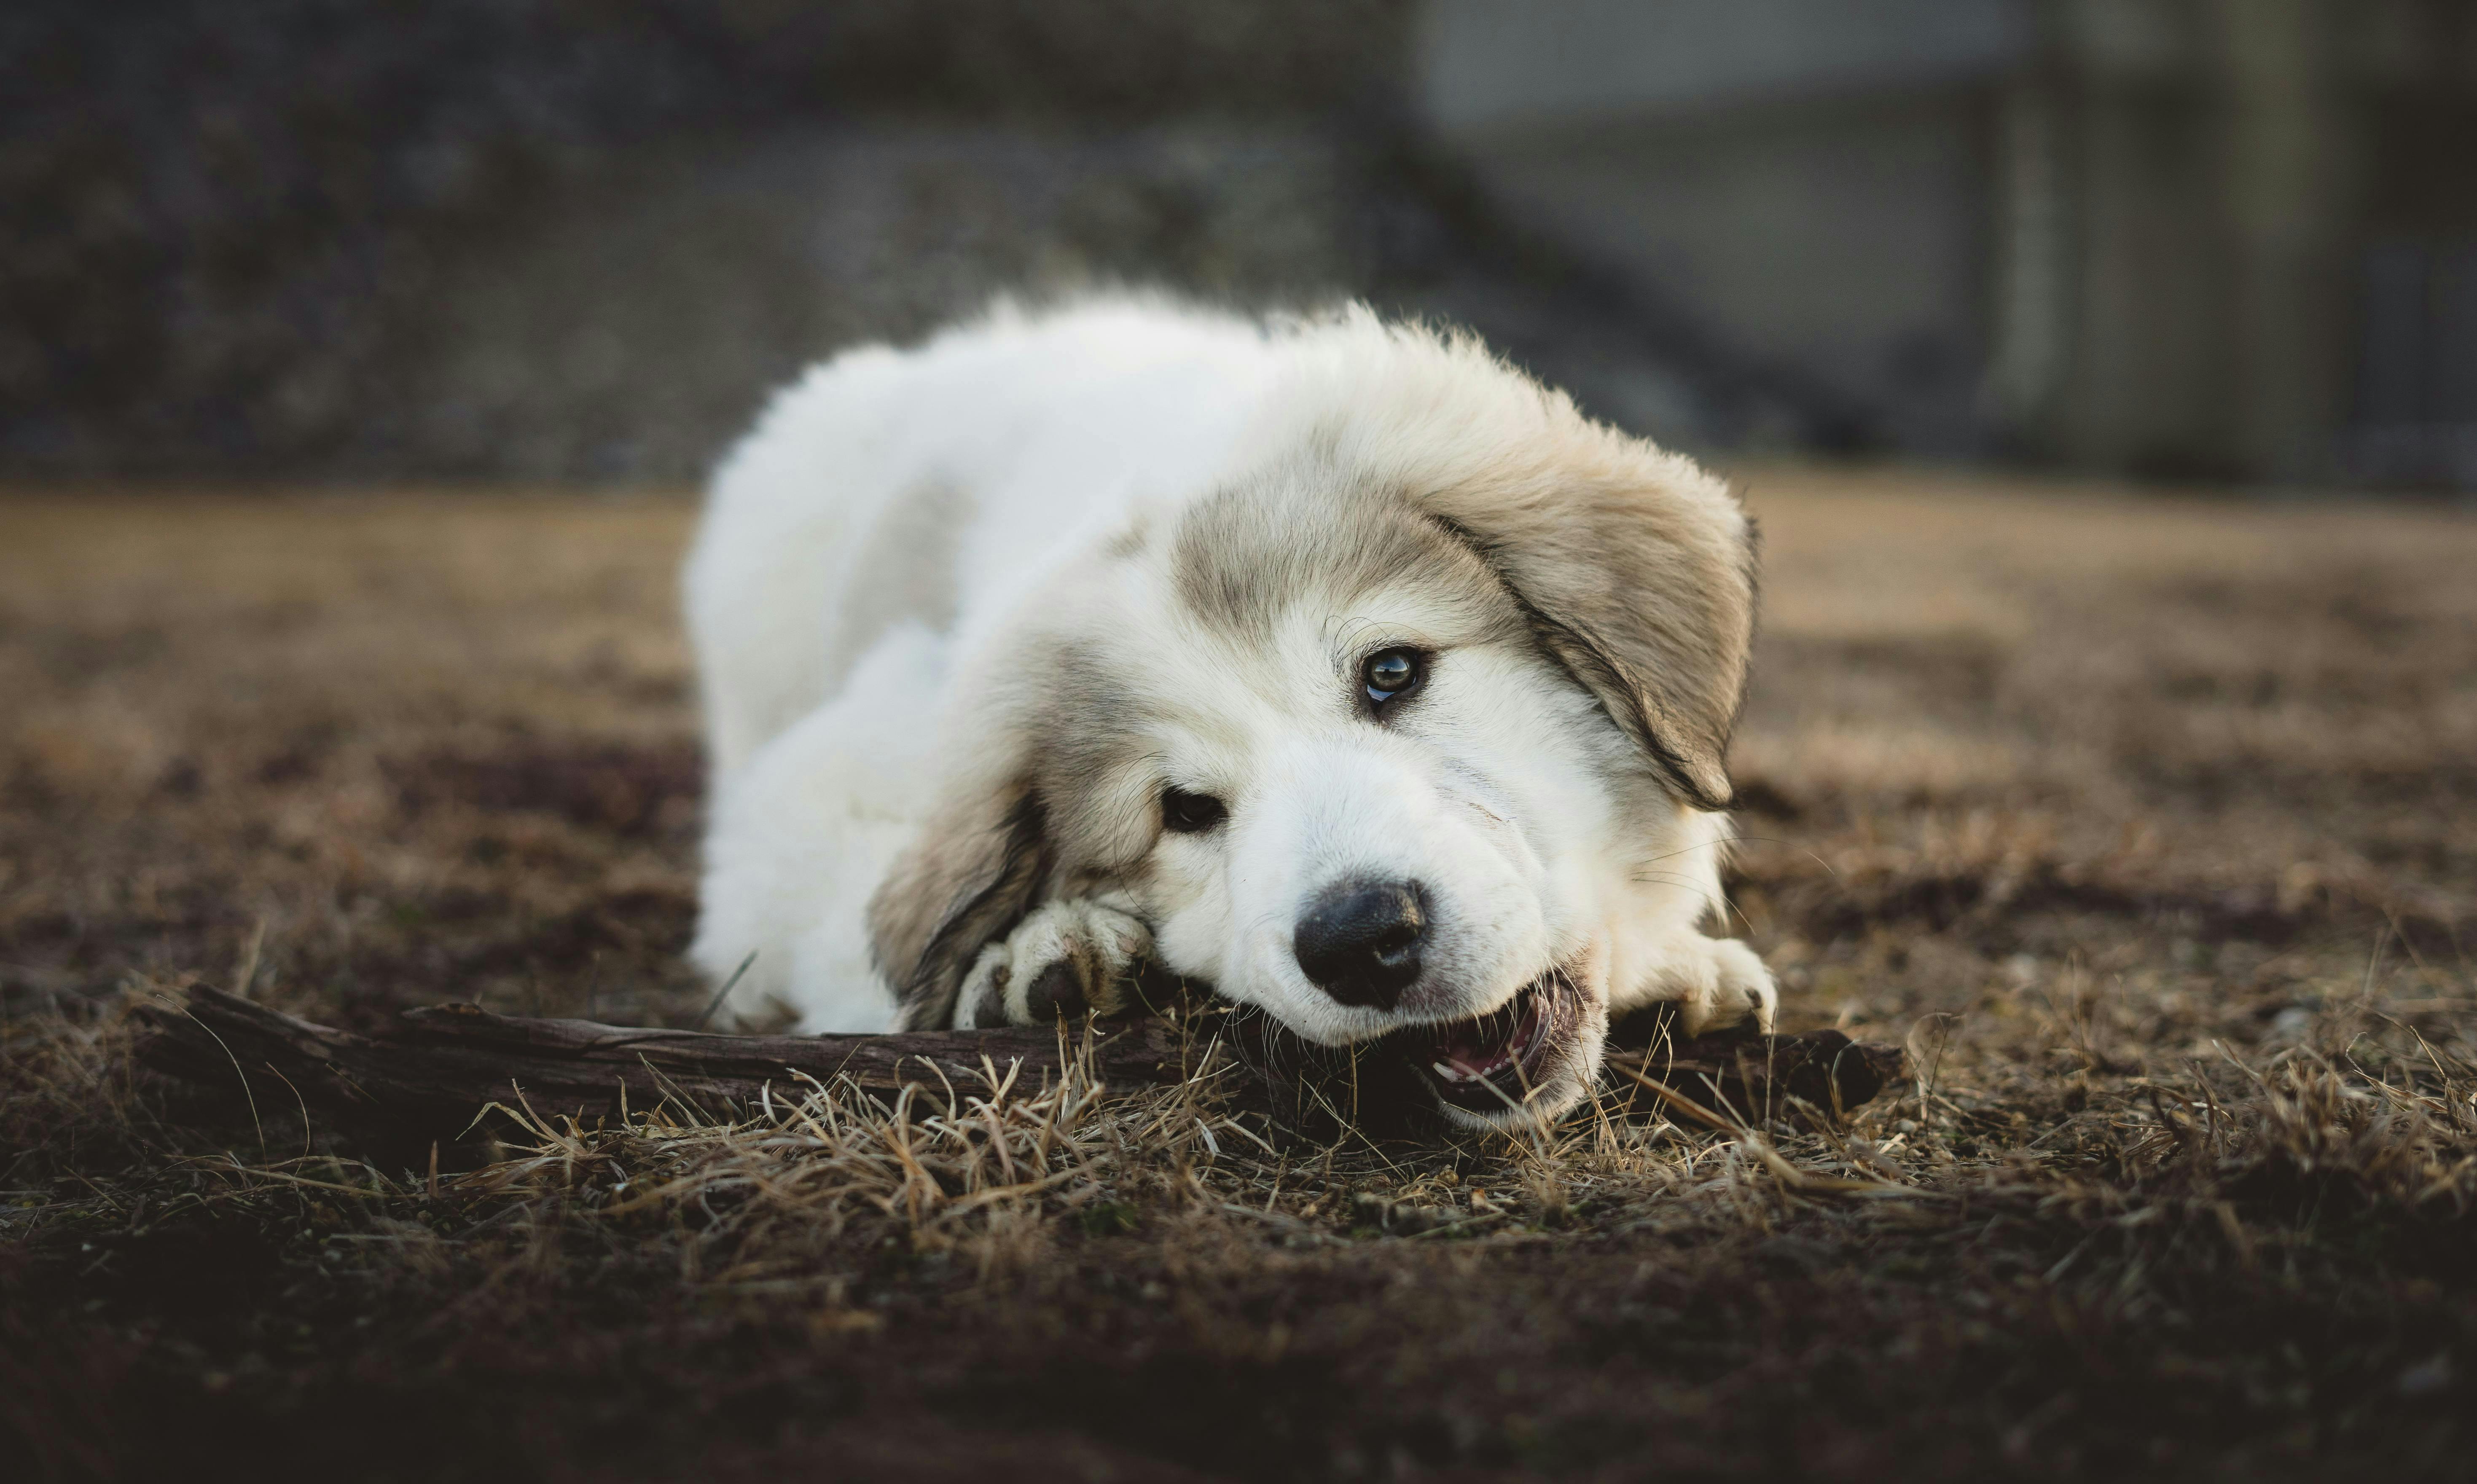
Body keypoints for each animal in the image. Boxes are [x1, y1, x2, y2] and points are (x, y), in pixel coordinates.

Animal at [693, 296, 1783, 1135]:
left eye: (1392, 672)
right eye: (1182, 810)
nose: (1359, 941)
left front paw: (1685, 967)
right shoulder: (816, 782)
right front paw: (1021, 960)